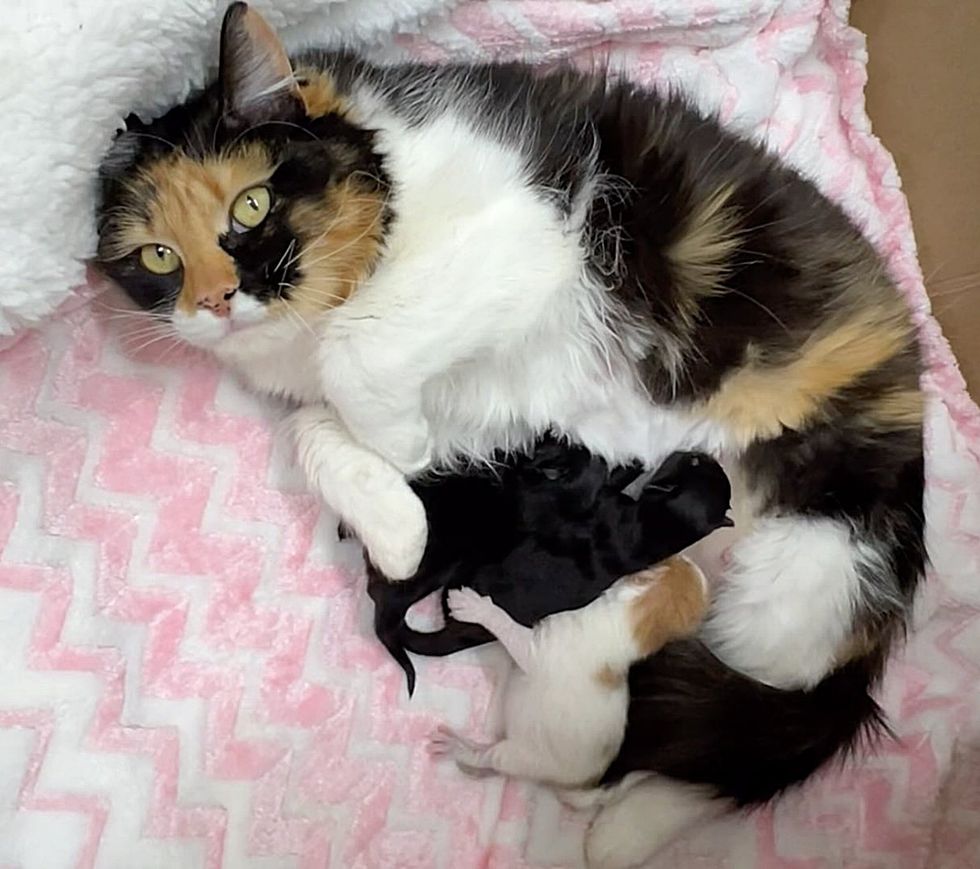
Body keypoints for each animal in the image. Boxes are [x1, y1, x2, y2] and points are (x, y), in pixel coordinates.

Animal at [95, 3, 924, 864]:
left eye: (250, 206)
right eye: (157, 256)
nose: (216, 302)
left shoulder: (531, 241)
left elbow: (359, 353)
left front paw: (400, 450)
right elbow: (308, 425)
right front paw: (399, 526)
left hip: (812, 557)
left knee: (769, 723)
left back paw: (622, 828)